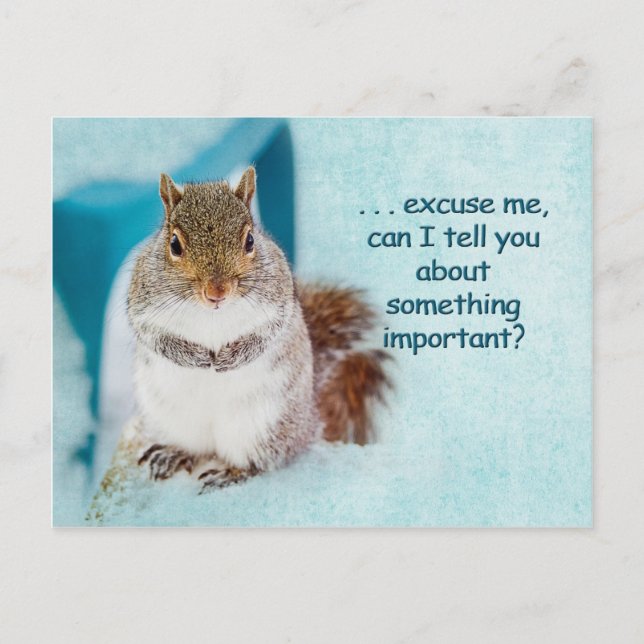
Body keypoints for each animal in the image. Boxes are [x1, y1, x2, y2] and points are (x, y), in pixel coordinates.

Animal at [128, 167, 390, 493]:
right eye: (174, 244)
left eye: (250, 240)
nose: (217, 292)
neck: (212, 314)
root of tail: (309, 420)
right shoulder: (142, 305)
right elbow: (153, 335)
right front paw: (194, 357)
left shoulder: (279, 303)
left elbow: (268, 334)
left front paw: (231, 358)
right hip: (173, 419)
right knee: (194, 448)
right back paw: (174, 454)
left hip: (263, 426)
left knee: (259, 461)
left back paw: (232, 472)